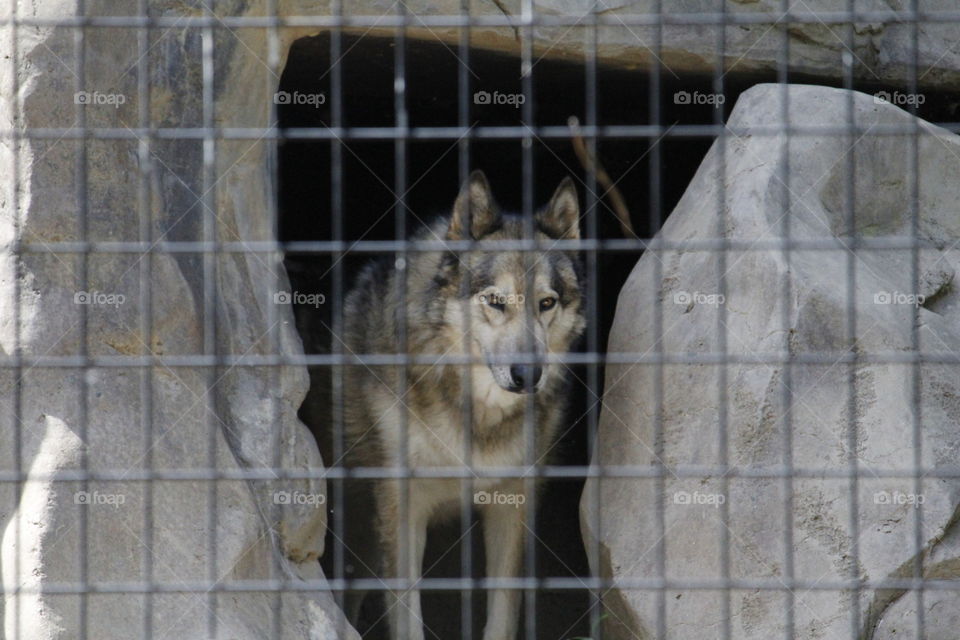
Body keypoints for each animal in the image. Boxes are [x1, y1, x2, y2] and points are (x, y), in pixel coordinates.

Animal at [330, 170, 585, 640]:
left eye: (546, 303)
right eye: (496, 301)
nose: (527, 375)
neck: (476, 417)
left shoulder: (512, 505)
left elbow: (502, 611)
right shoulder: (402, 507)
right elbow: (407, 614)